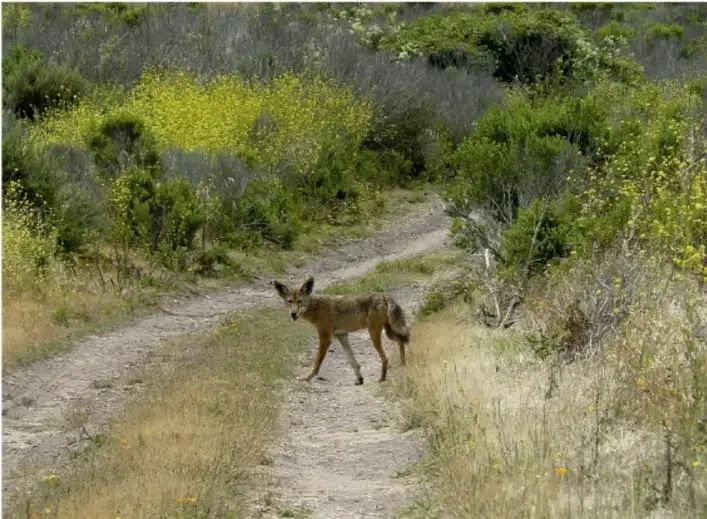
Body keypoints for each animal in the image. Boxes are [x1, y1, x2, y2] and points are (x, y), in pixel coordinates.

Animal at [271, 276, 411, 386]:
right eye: (289, 302)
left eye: (300, 301)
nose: (293, 314)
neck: (315, 308)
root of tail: (384, 296)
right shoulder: (342, 335)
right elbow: (353, 361)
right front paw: (359, 379)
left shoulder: (325, 337)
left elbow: (317, 362)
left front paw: (306, 377)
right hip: (389, 332)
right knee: (402, 341)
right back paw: (403, 364)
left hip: (375, 334)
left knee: (386, 357)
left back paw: (382, 379)